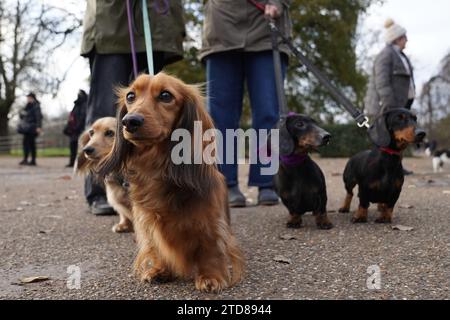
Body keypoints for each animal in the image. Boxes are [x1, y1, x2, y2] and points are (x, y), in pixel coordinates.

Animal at [100, 72, 244, 292]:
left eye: (166, 95)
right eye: (131, 96)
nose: (129, 121)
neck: (158, 168)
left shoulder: (209, 220)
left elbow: (210, 246)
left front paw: (211, 275)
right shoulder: (148, 221)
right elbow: (157, 244)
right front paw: (161, 269)